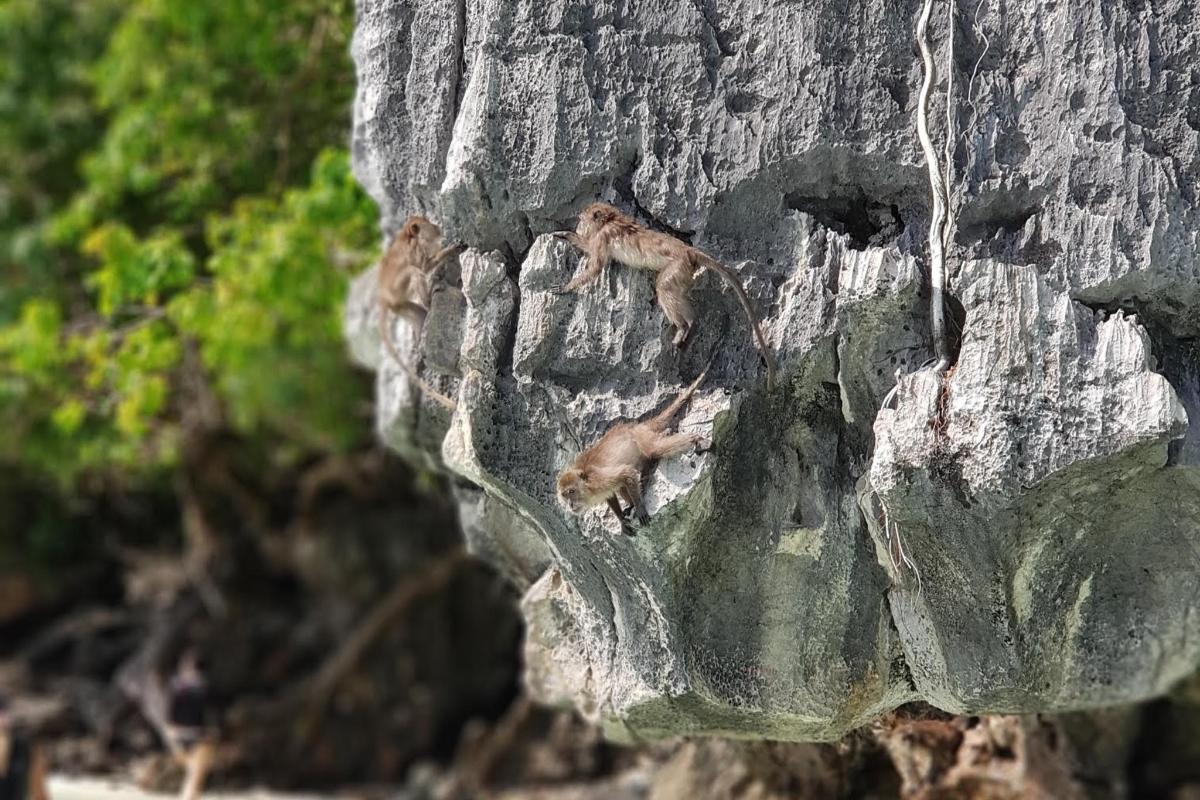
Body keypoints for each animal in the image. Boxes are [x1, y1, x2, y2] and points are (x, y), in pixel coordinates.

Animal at [376, 215, 465, 410]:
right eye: (429, 224)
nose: (437, 227)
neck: (410, 238)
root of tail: (383, 298)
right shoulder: (415, 251)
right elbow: (424, 266)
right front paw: (451, 249)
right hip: (397, 291)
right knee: (413, 270)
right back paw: (429, 299)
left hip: (400, 305)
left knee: (418, 315)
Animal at [552, 201, 777, 386]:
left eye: (582, 219)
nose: (578, 227)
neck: (611, 220)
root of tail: (688, 250)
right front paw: (565, 234)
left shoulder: (603, 237)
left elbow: (595, 266)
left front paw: (566, 287)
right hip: (685, 275)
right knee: (677, 294)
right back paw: (692, 324)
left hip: (676, 267)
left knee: (663, 288)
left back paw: (684, 326)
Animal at [559, 367, 710, 534]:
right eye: (564, 495)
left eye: (571, 492)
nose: (570, 504)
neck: (587, 487)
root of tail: (637, 426)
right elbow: (612, 494)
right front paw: (621, 519)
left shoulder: (597, 479)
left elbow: (626, 473)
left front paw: (639, 507)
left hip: (641, 437)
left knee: (654, 449)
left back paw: (693, 439)